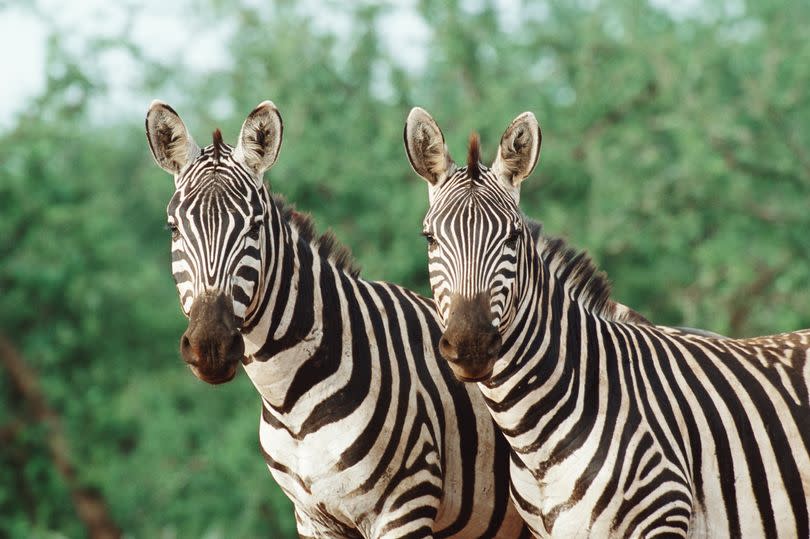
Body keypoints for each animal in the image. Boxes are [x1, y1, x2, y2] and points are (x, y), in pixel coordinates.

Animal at [146, 101, 532, 539]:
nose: (211, 346)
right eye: (173, 229)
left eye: (254, 228)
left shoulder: (405, 507)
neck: (289, 400)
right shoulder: (312, 517)